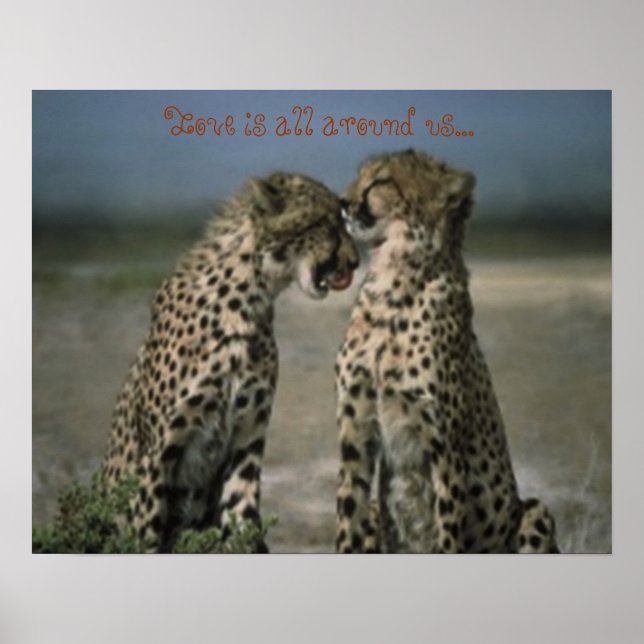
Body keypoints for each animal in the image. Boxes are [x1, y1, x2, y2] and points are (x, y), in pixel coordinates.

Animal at [102, 171, 359, 552]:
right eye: (325, 223)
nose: (355, 262)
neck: (248, 298)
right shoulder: (156, 456)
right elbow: (145, 534)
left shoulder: (245, 443)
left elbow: (244, 523)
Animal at [334, 150, 559, 554]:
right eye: (361, 175)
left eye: (381, 181)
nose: (342, 203)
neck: (393, 285)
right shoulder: (354, 429)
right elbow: (348, 519)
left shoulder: (444, 448)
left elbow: (448, 529)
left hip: (535, 512)